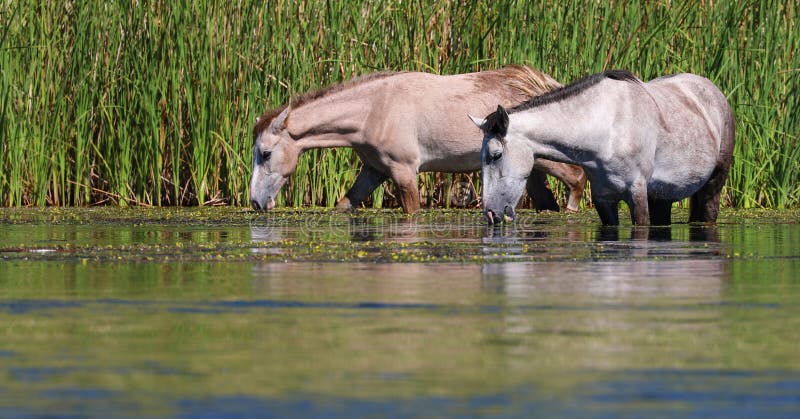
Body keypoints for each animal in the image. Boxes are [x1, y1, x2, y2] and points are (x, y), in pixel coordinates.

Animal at [247, 65, 584, 213]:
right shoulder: (374, 171)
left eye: (265, 153)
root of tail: (540, 81)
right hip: (531, 171)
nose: (256, 201)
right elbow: (343, 206)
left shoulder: (404, 172)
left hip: (546, 160)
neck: (373, 110)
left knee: (577, 180)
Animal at [472, 70, 736, 226]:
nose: (491, 213)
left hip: (712, 188)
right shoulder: (603, 200)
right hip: (662, 197)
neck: (606, 128)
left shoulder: (637, 195)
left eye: (496, 155)